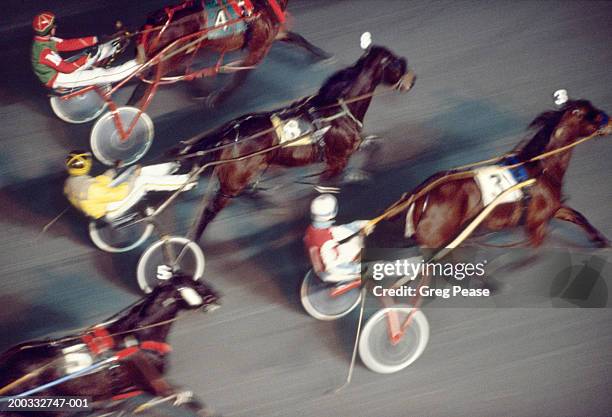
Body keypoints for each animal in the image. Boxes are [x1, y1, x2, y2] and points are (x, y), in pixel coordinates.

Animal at [129, 0, 330, 106]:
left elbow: (298, 38)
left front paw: (321, 54)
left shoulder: (274, 35)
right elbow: (240, 78)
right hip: (171, 57)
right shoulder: (258, 49)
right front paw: (219, 98)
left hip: (179, 54)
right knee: (146, 86)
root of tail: (155, 22)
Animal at [166, 44, 416, 240]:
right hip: (232, 182)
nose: (412, 80)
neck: (336, 109)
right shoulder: (337, 160)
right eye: (396, 63)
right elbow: (324, 188)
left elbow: (375, 143)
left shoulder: (349, 149)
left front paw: (359, 174)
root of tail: (227, 134)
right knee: (210, 210)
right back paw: (192, 242)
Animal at [400, 98, 608, 250]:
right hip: (437, 236)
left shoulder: (552, 208)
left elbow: (577, 216)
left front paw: (600, 239)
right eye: (596, 116)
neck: (540, 168)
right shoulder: (537, 222)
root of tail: (423, 194)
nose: (610, 121)